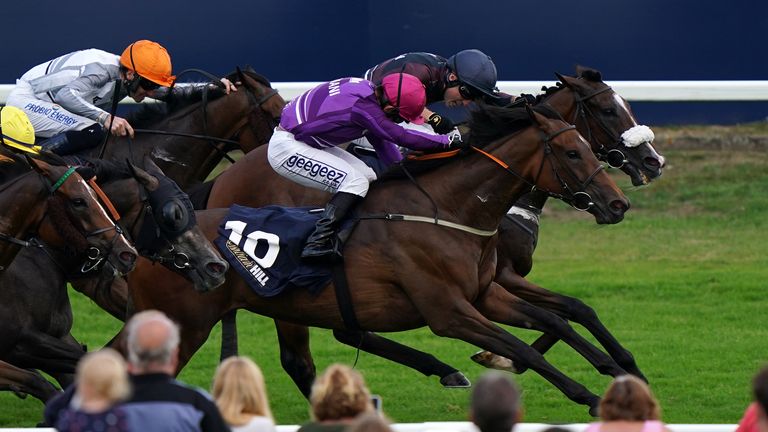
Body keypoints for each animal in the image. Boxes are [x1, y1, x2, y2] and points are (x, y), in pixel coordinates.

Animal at [124, 103, 632, 414]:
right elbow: (523, 345)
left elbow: (560, 318)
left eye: (586, 146)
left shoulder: (486, 293)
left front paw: (619, 366)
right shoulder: (449, 312)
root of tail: (163, 240)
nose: (618, 203)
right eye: (572, 151)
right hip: (188, 323)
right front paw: (588, 395)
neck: (446, 210)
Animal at [207, 66, 664, 388]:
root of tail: (223, 182)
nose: (653, 162)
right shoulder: (498, 277)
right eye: (608, 111)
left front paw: (627, 368)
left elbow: (573, 310)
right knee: (304, 356)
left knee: (347, 332)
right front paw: (501, 358)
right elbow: (557, 317)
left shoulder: (491, 282)